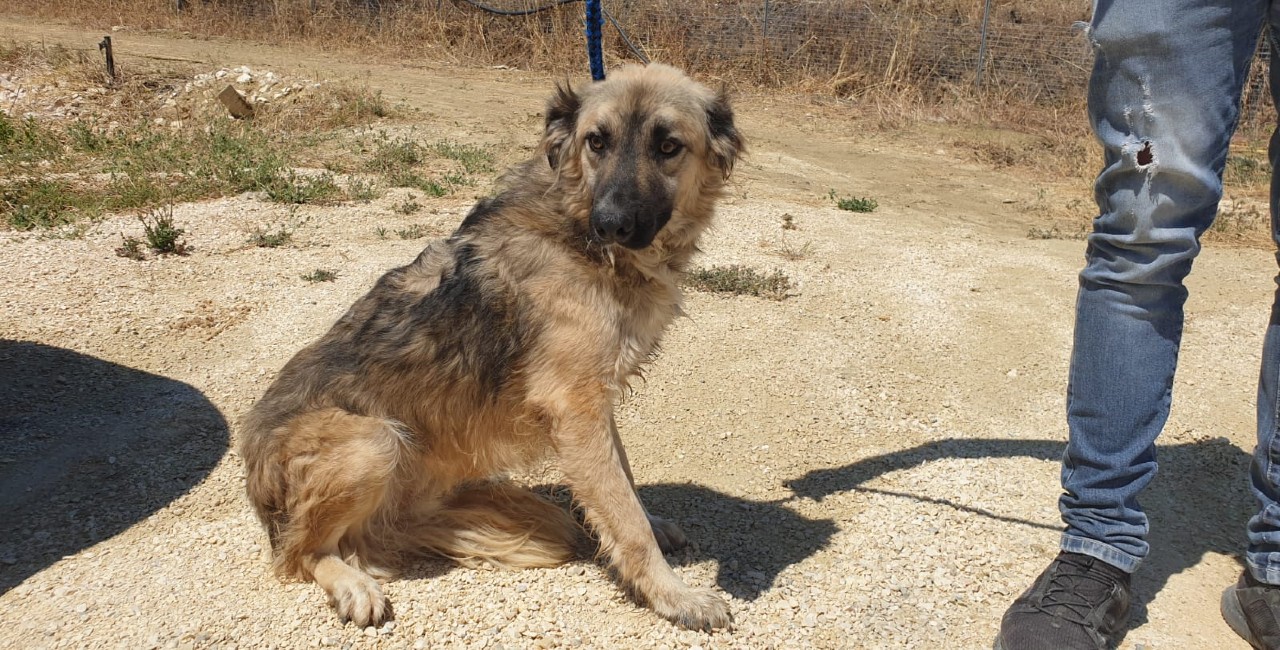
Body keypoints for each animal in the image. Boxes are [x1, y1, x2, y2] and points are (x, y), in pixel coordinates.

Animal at [238, 63, 744, 631]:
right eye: (597, 141)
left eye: (668, 146)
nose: (610, 223)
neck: (578, 232)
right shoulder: (574, 405)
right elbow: (624, 515)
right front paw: (674, 596)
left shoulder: (589, 401)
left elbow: (624, 485)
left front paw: (653, 528)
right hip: (374, 441)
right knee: (297, 553)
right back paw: (352, 582)